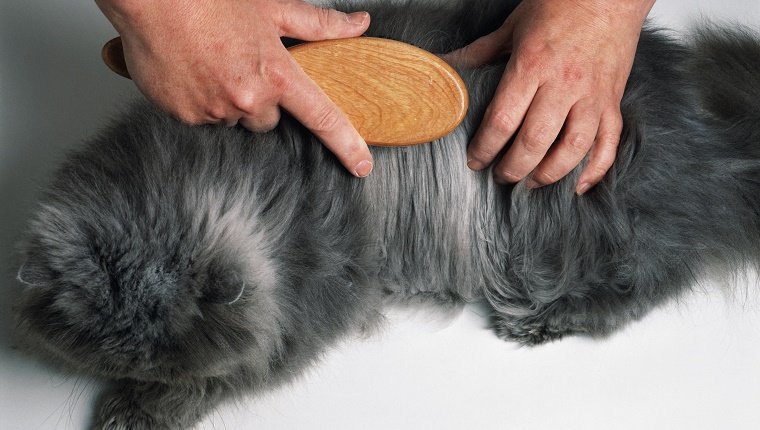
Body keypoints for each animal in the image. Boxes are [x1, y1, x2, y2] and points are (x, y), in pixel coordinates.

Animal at [10, 0, 760, 428]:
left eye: (157, 344)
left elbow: (227, 374)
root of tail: (707, 144)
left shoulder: (306, 302)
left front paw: (132, 410)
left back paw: (541, 318)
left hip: (572, 215)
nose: (131, 357)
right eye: (117, 339)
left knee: (650, 281)